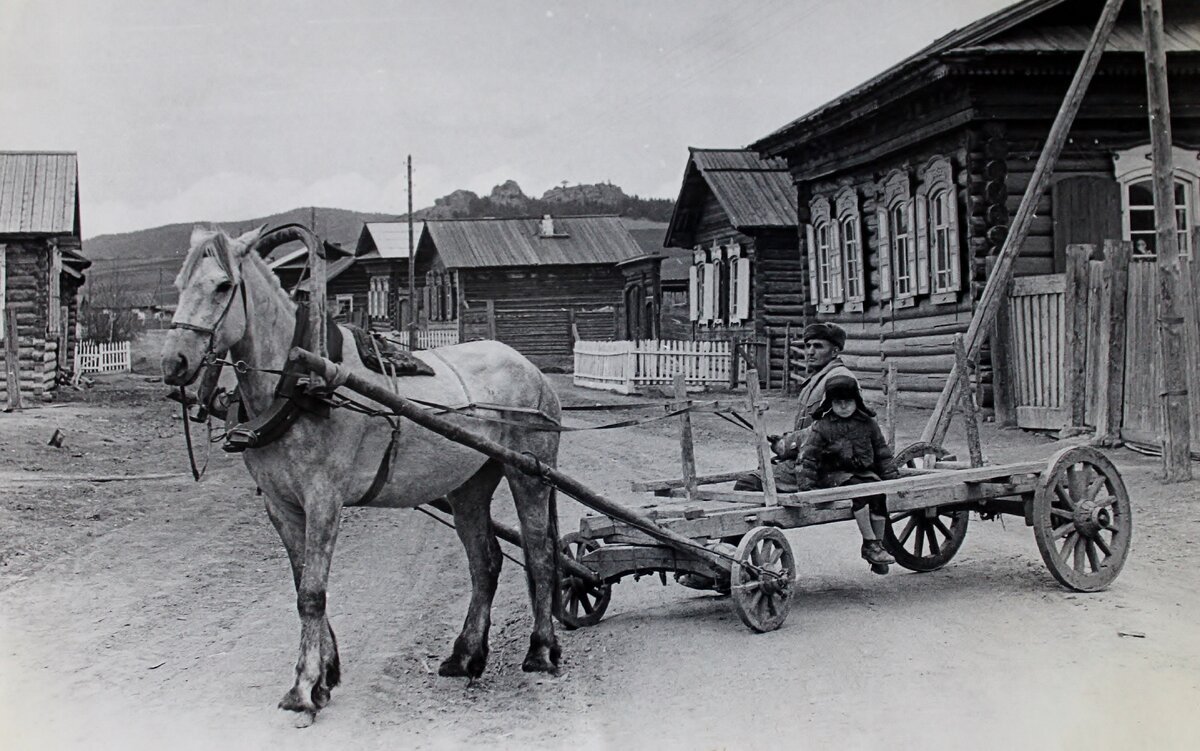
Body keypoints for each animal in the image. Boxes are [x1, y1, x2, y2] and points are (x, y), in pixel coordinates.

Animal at [162, 223, 564, 719]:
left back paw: (541, 650)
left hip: (530, 474)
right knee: (485, 562)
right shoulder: (281, 506)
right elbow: (302, 584)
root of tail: (529, 366)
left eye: (222, 285)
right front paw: (326, 675)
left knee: (540, 555)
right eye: (180, 285)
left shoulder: (324, 499)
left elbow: (312, 592)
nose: (174, 363)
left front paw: (304, 686)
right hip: (469, 485)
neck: (299, 383)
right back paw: (466, 654)